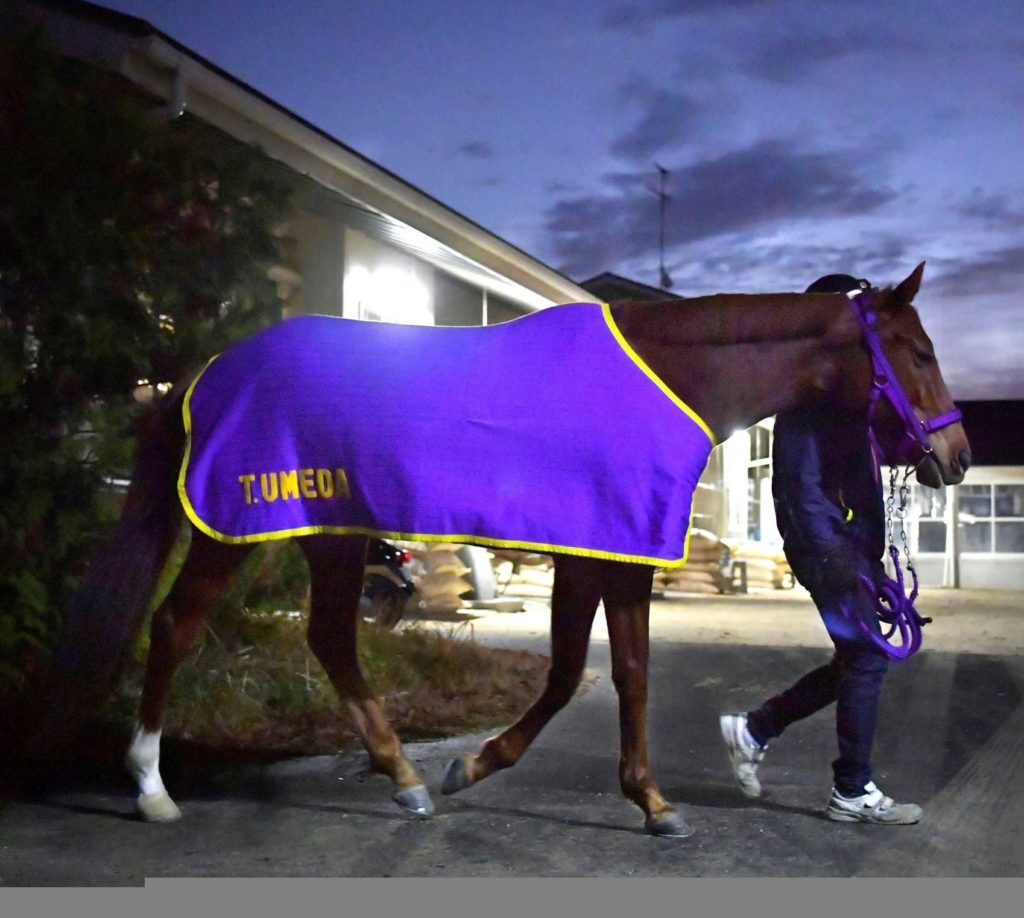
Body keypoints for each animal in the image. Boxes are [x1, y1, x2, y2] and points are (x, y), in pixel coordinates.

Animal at [39, 262, 966, 836]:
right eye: (919, 351)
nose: (955, 457)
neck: (664, 378)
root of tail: (205, 373)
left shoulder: (612, 554)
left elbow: (616, 672)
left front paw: (643, 799)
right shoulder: (597, 553)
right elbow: (581, 675)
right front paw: (492, 767)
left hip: (332, 536)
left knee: (331, 639)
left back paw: (403, 778)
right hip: (234, 530)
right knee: (177, 627)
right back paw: (151, 786)